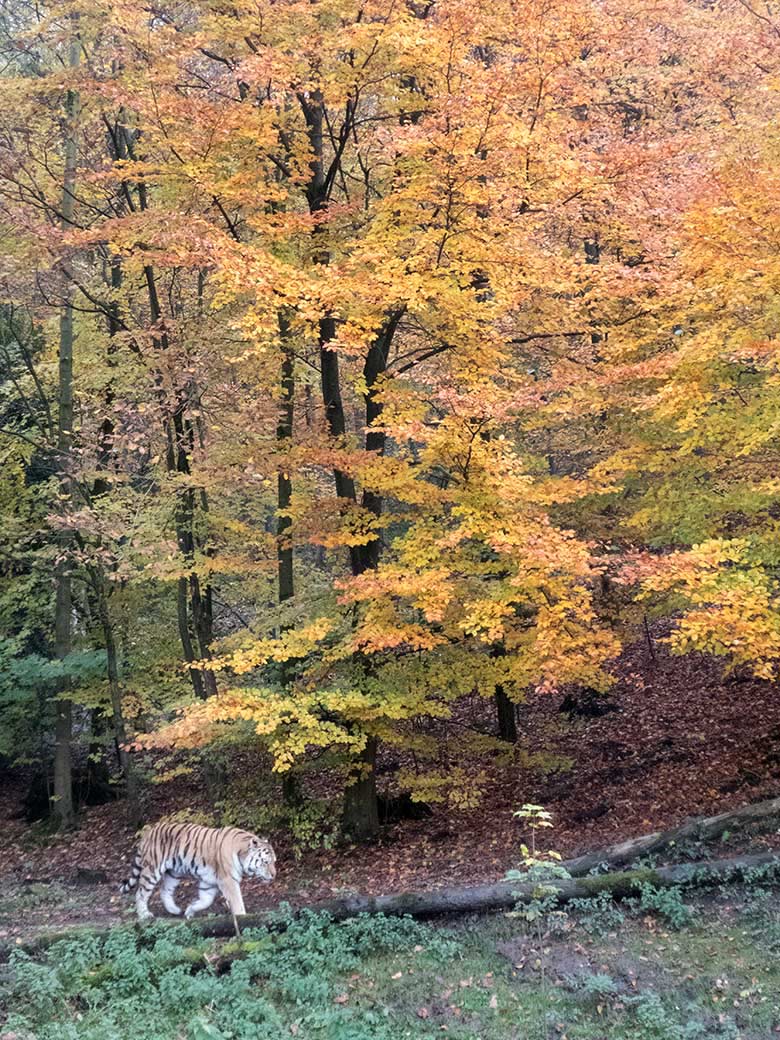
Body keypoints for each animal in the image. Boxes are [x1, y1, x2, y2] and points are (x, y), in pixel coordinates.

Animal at [120, 819, 278, 919]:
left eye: (274, 862)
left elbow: (205, 901)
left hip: (173, 873)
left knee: (164, 890)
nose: (274, 875)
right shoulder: (228, 881)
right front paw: (242, 919)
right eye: (265, 862)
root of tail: (148, 832)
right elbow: (237, 902)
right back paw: (144, 915)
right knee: (140, 893)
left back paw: (174, 910)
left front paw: (190, 910)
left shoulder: (209, 882)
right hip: (152, 870)